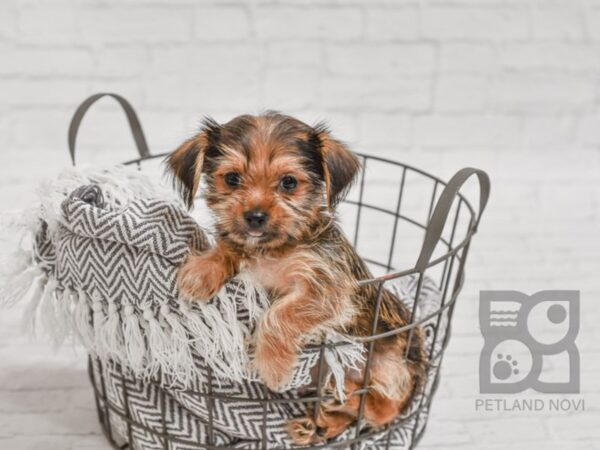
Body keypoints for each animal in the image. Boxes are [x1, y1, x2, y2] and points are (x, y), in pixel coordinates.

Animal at [164, 113, 426, 446]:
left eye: (289, 182)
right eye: (232, 179)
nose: (255, 217)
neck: (271, 250)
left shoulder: (326, 288)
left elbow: (279, 316)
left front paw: (273, 368)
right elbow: (229, 247)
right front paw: (202, 271)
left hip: (389, 364)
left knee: (384, 410)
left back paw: (347, 396)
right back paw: (322, 423)